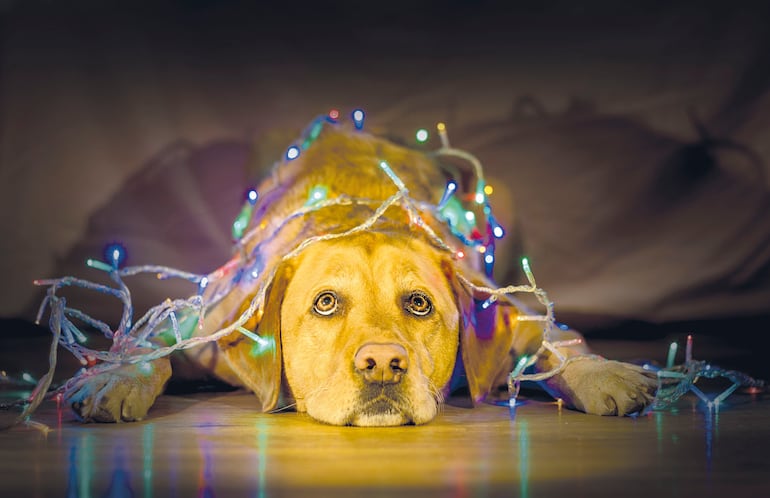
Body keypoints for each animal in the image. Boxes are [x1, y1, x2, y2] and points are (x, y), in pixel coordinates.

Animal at [64, 119, 656, 424]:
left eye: (419, 303)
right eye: (326, 303)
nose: (382, 364)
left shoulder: (510, 307)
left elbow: (560, 338)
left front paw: (603, 372)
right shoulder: (206, 318)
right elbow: (148, 342)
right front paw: (117, 377)